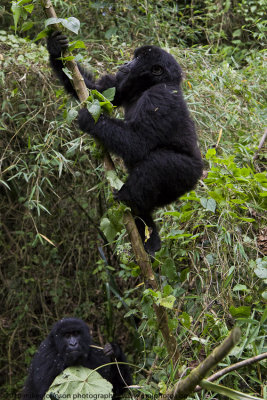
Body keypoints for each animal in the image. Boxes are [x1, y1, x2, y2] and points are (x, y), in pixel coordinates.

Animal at [47, 32, 203, 255]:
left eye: (138, 59)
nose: (126, 62)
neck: (149, 85)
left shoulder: (159, 98)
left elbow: (137, 142)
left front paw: (90, 119)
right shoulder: (123, 85)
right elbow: (97, 92)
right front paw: (55, 47)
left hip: (187, 175)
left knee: (158, 164)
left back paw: (128, 198)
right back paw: (148, 234)